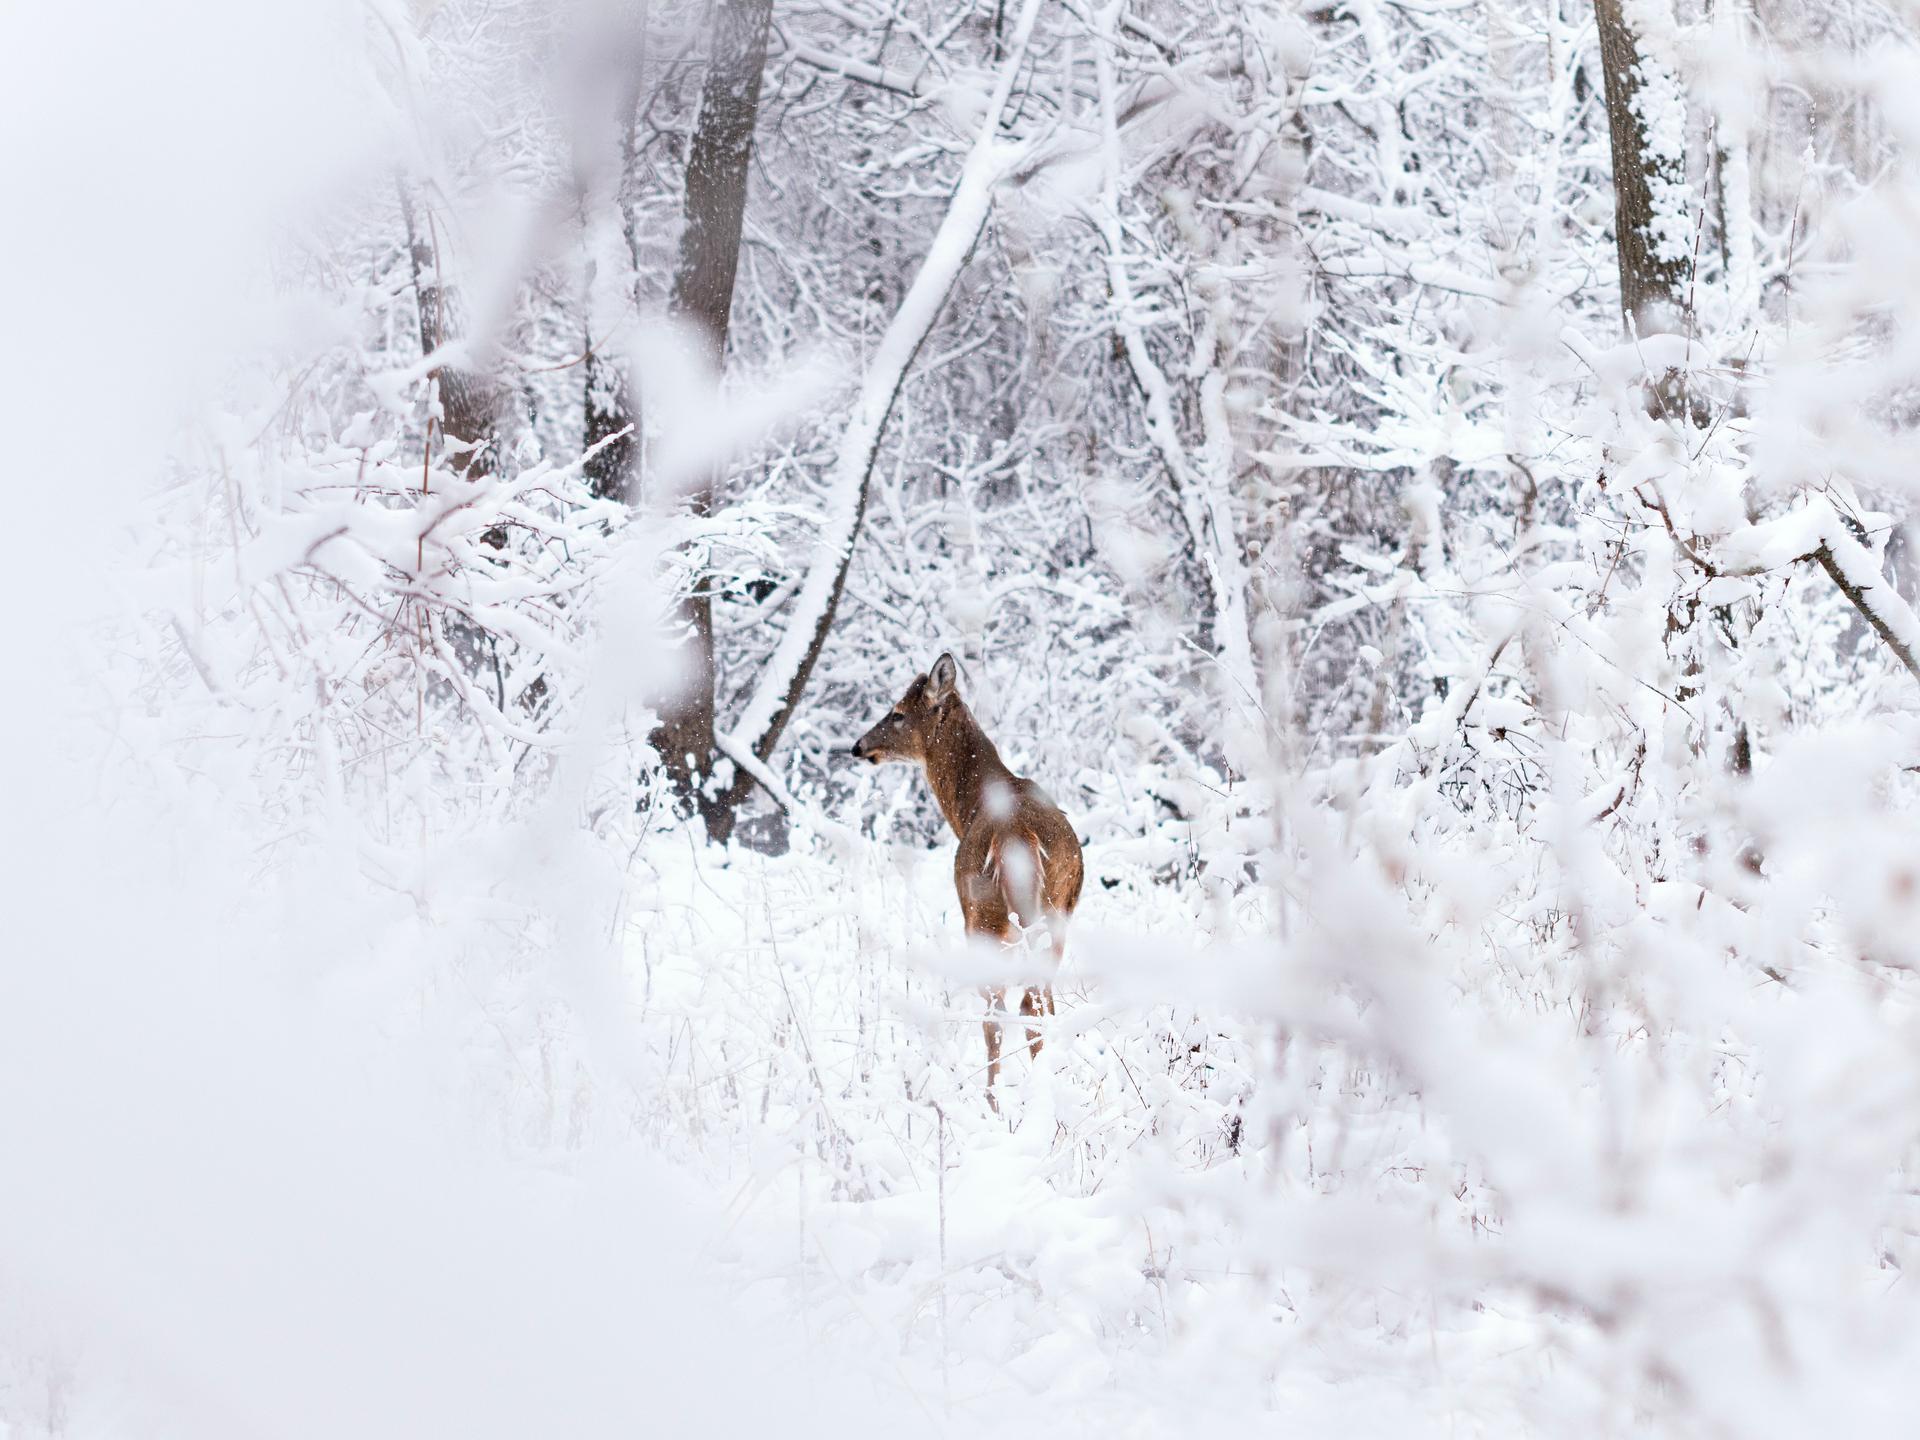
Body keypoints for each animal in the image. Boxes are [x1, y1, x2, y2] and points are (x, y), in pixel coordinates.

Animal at [851, 653, 1084, 1107]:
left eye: (898, 713)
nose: (859, 746)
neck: (970, 807)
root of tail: (1016, 837)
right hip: (1050, 914)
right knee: (1037, 1000)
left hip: (983, 916)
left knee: (1002, 1010)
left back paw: (993, 1102)